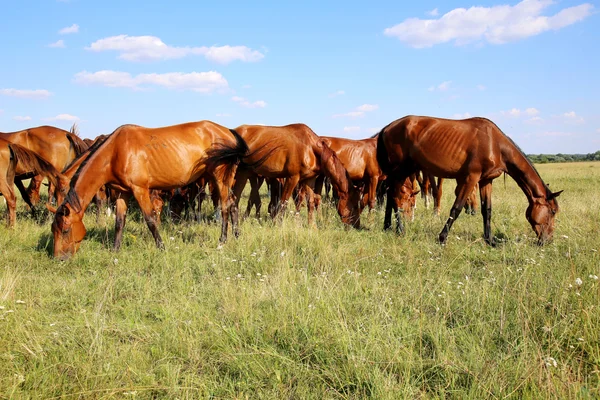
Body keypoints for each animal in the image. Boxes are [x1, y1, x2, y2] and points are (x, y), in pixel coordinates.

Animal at [51, 121, 255, 260]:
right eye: (54, 230)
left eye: (66, 230)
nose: (59, 258)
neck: (116, 151)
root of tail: (228, 132)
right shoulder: (123, 192)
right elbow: (119, 221)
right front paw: (115, 250)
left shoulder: (140, 190)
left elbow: (150, 220)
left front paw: (162, 247)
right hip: (222, 178)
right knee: (233, 203)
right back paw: (236, 235)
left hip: (219, 177)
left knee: (225, 206)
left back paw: (222, 240)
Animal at [230, 122, 360, 228]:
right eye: (354, 205)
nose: (357, 225)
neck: (310, 148)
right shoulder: (292, 178)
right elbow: (283, 202)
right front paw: (277, 225)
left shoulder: (309, 180)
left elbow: (310, 203)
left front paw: (312, 226)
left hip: (245, 174)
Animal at [376, 115, 564, 245]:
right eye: (553, 211)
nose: (547, 240)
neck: (495, 143)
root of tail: (387, 128)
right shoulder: (471, 178)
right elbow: (456, 208)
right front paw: (442, 238)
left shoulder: (486, 181)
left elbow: (487, 210)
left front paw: (490, 240)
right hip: (401, 169)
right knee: (394, 195)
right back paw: (399, 229)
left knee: (390, 193)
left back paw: (387, 226)